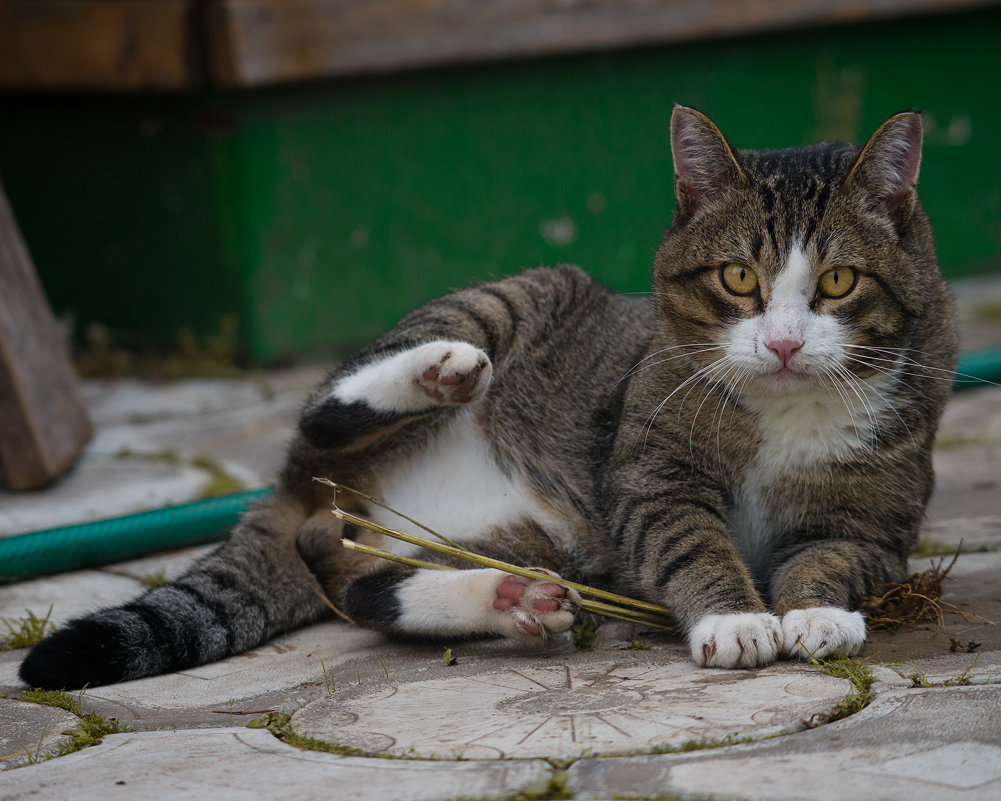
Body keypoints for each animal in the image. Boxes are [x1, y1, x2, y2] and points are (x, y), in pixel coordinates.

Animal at [17, 104, 952, 688]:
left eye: (837, 281)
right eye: (737, 279)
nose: (786, 343)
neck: (789, 410)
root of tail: (309, 497)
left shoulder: (876, 526)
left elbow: (829, 554)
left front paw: (816, 613)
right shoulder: (647, 471)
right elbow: (688, 539)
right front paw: (733, 620)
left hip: (536, 540)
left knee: (356, 580)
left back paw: (503, 600)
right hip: (510, 296)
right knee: (322, 414)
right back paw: (438, 372)